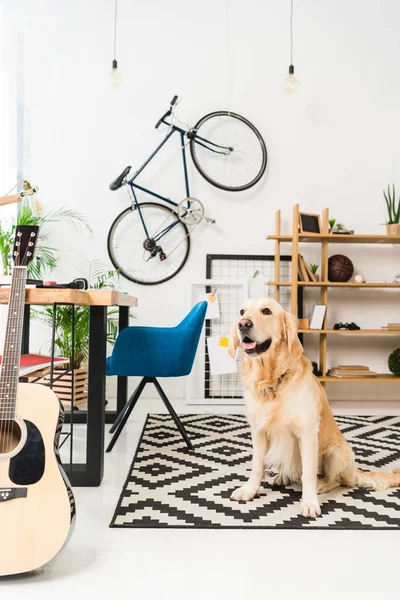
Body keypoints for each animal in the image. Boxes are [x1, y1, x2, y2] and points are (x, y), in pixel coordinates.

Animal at [228, 298, 400, 516]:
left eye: (266, 311)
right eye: (242, 312)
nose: (243, 324)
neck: (273, 381)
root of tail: (354, 470)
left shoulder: (308, 434)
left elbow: (308, 474)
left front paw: (309, 502)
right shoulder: (259, 431)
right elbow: (257, 466)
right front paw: (250, 490)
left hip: (335, 451)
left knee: (337, 480)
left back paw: (322, 485)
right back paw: (282, 477)